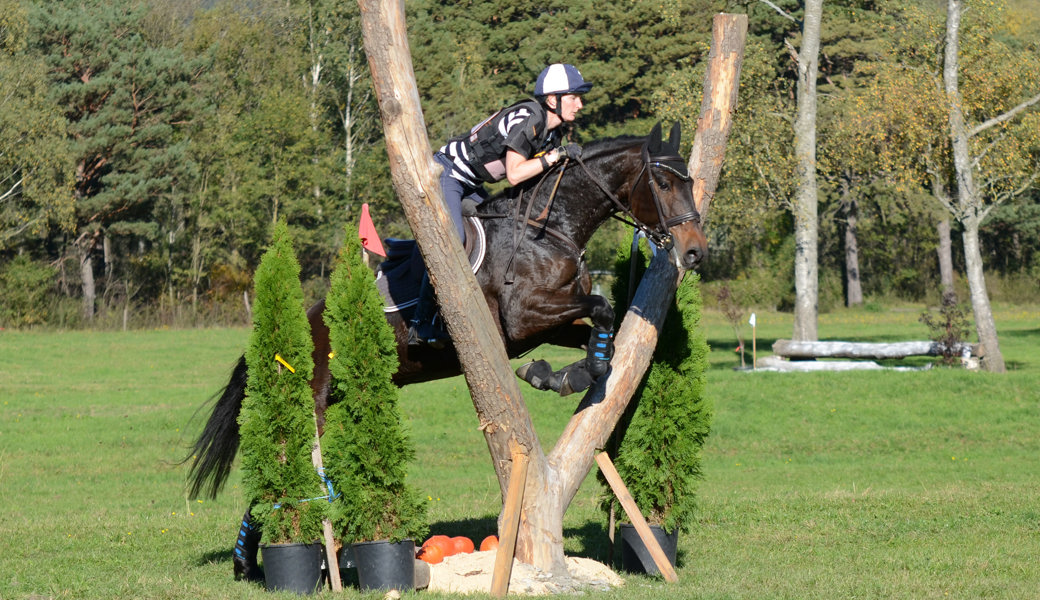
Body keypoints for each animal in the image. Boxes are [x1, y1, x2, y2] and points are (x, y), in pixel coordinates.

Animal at [185, 121, 707, 574]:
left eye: (691, 182)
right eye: (663, 182)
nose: (696, 252)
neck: (550, 228)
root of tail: (310, 316)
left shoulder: (545, 324)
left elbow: (603, 328)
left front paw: (564, 373)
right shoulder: (524, 317)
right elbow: (601, 306)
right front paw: (564, 373)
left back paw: (254, 557)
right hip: (311, 397)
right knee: (283, 462)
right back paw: (254, 556)